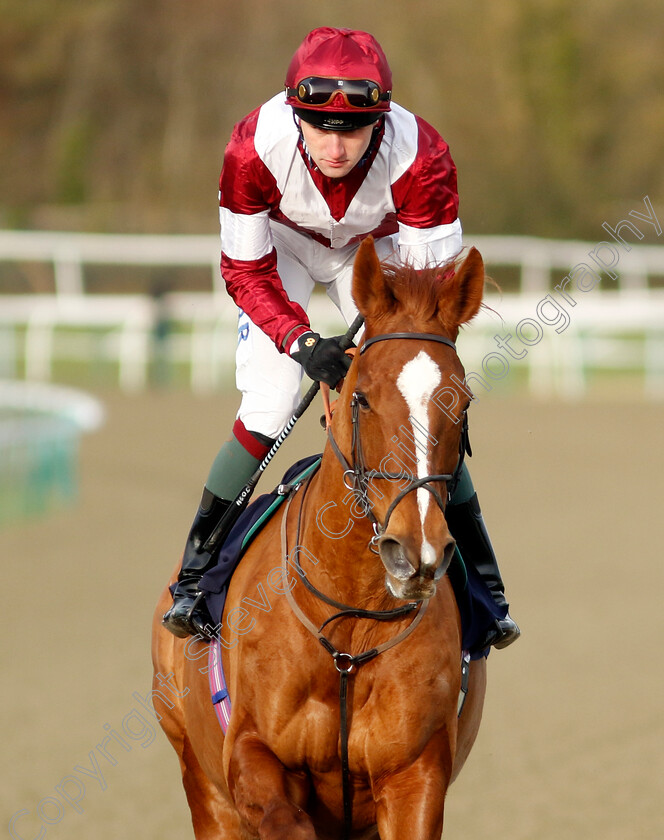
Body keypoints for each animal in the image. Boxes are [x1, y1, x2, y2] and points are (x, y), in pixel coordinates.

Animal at [153, 238, 490, 840]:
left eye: (464, 401)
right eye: (362, 397)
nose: (417, 549)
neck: (349, 625)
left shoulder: (415, 774)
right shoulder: (251, 757)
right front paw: (319, 353)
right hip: (202, 782)